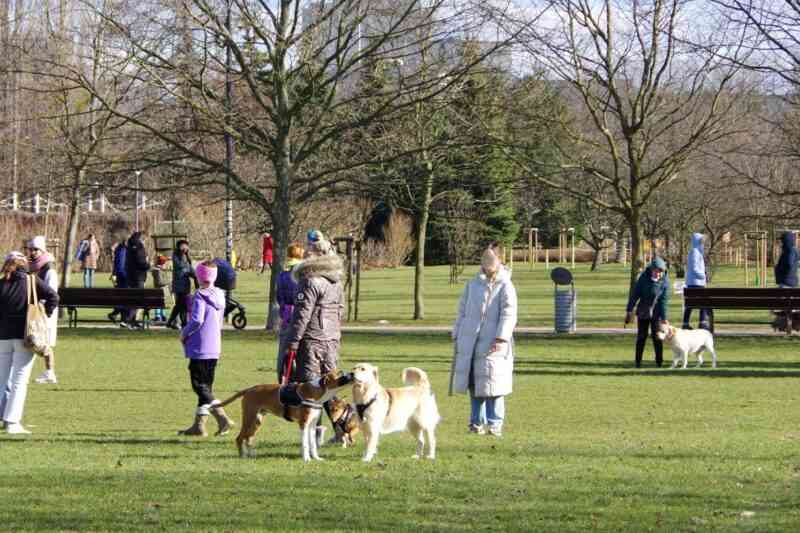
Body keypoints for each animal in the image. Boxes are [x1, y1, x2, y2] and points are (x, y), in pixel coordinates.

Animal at [214, 370, 352, 462]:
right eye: (340, 373)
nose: (352, 373)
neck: (317, 393)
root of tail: (249, 389)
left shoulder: (312, 426)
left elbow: (312, 444)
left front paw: (316, 458)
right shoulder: (304, 424)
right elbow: (305, 444)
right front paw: (306, 459)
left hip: (256, 421)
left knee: (249, 438)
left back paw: (251, 455)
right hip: (249, 419)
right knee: (240, 438)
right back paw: (242, 456)